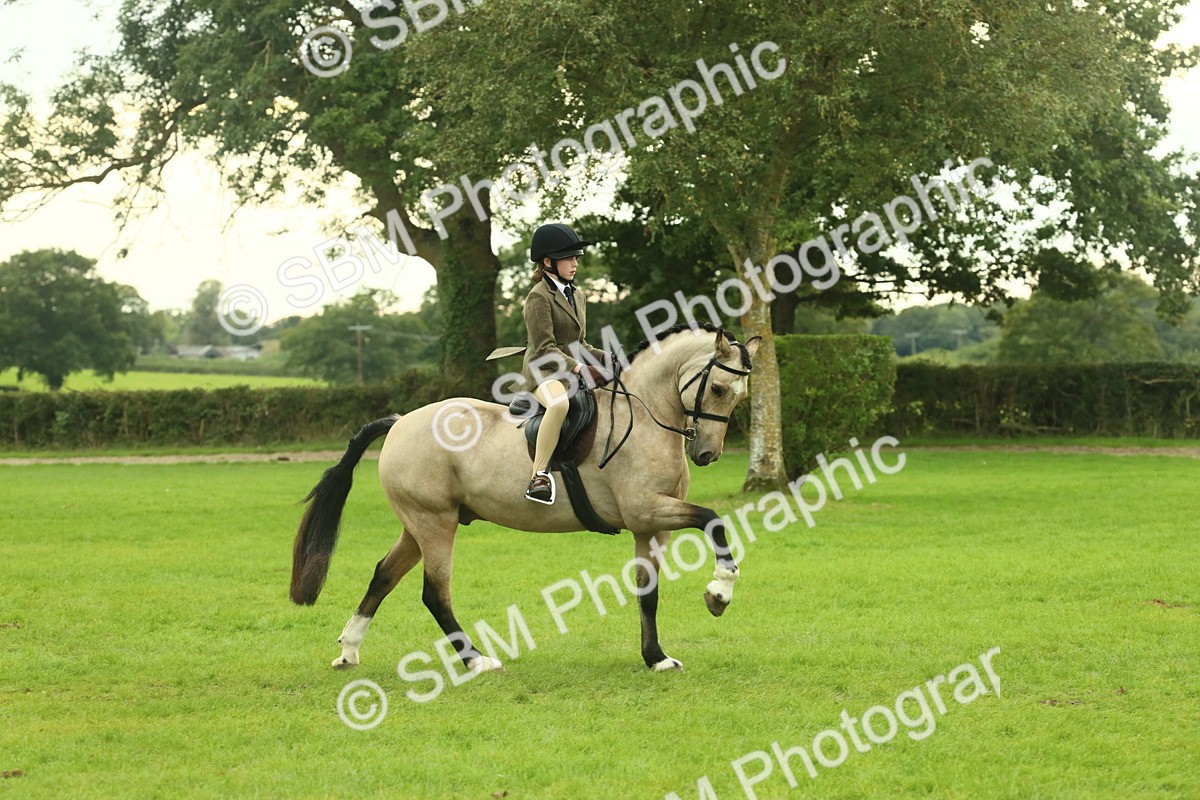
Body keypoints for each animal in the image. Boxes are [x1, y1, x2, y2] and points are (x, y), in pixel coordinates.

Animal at [289, 324, 761, 674]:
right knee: (434, 594)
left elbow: (648, 593)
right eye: (719, 389)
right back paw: (477, 661)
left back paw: (349, 651)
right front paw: (719, 593)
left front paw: (657, 658)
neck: (645, 415)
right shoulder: (646, 509)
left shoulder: (649, 526)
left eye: (740, 396)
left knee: (383, 576)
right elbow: (713, 518)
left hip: (419, 524)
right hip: (434, 523)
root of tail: (401, 421)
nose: (706, 454)